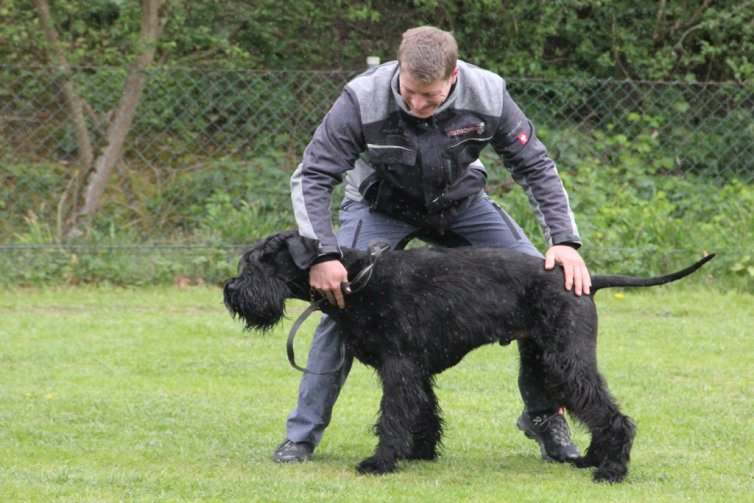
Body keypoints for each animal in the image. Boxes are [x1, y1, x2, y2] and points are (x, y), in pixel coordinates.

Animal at [222, 232, 712, 484]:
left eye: (259, 261)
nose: (231, 291)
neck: (357, 277)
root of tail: (584, 279)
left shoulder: (399, 366)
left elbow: (393, 415)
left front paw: (381, 462)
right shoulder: (414, 370)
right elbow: (423, 411)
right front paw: (420, 452)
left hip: (564, 359)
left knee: (610, 414)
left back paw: (612, 470)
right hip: (548, 358)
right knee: (591, 408)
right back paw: (592, 459)